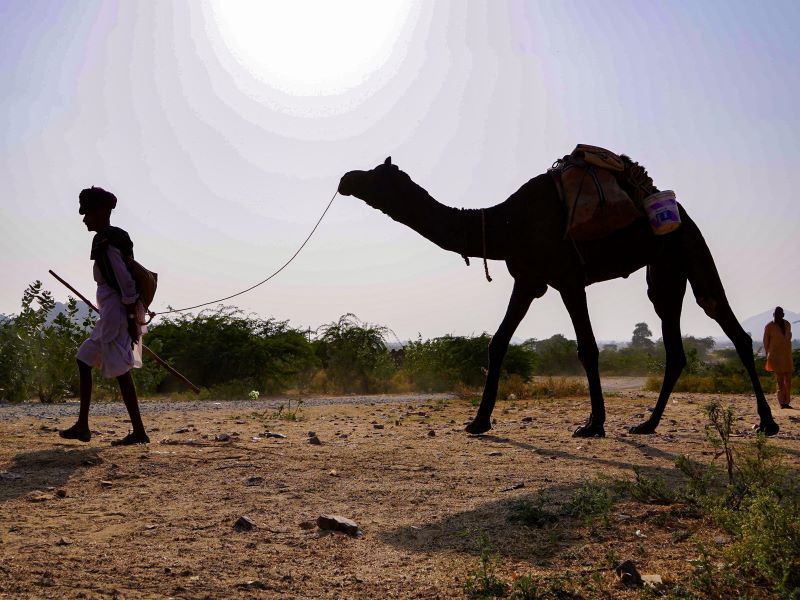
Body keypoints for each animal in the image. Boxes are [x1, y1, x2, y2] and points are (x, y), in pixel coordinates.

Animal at [337, 157, 779, 437]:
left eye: (377, 175)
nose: (346, 178)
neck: (503, 223)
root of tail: (677, 209)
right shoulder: (528, 279)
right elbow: (498, 343)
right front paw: (478, 422)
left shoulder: (568, 278)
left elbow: (587, 348)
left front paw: (593, 424)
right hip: (664, 271)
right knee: (675, 343)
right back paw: (648, 424)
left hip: (690, 246)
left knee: (729, 323)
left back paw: (767, 422)